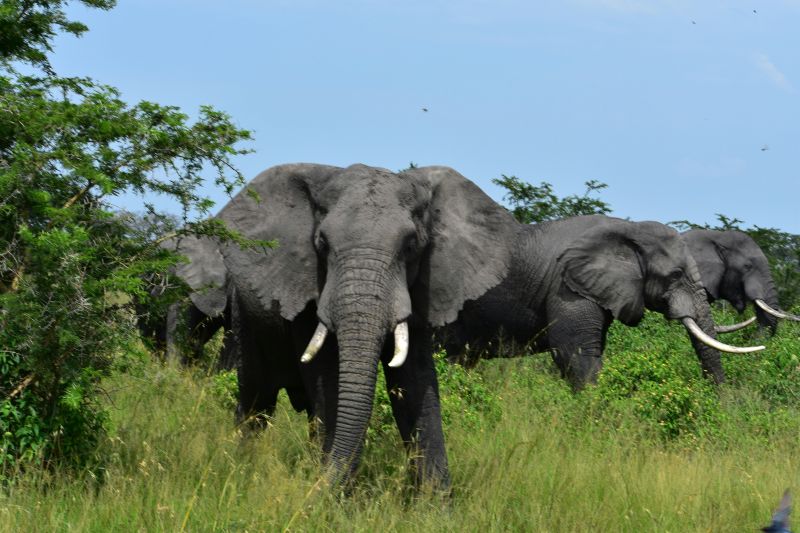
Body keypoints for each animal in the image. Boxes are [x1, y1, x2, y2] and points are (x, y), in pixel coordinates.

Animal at [206, 163, 517, 487]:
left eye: (411, 246)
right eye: (322, 244)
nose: (320, 487)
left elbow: (416, 382)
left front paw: (437, 498)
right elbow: (329, 378)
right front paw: (332, 494)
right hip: (244, 315)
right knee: (256, 399)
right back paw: (241, 465)